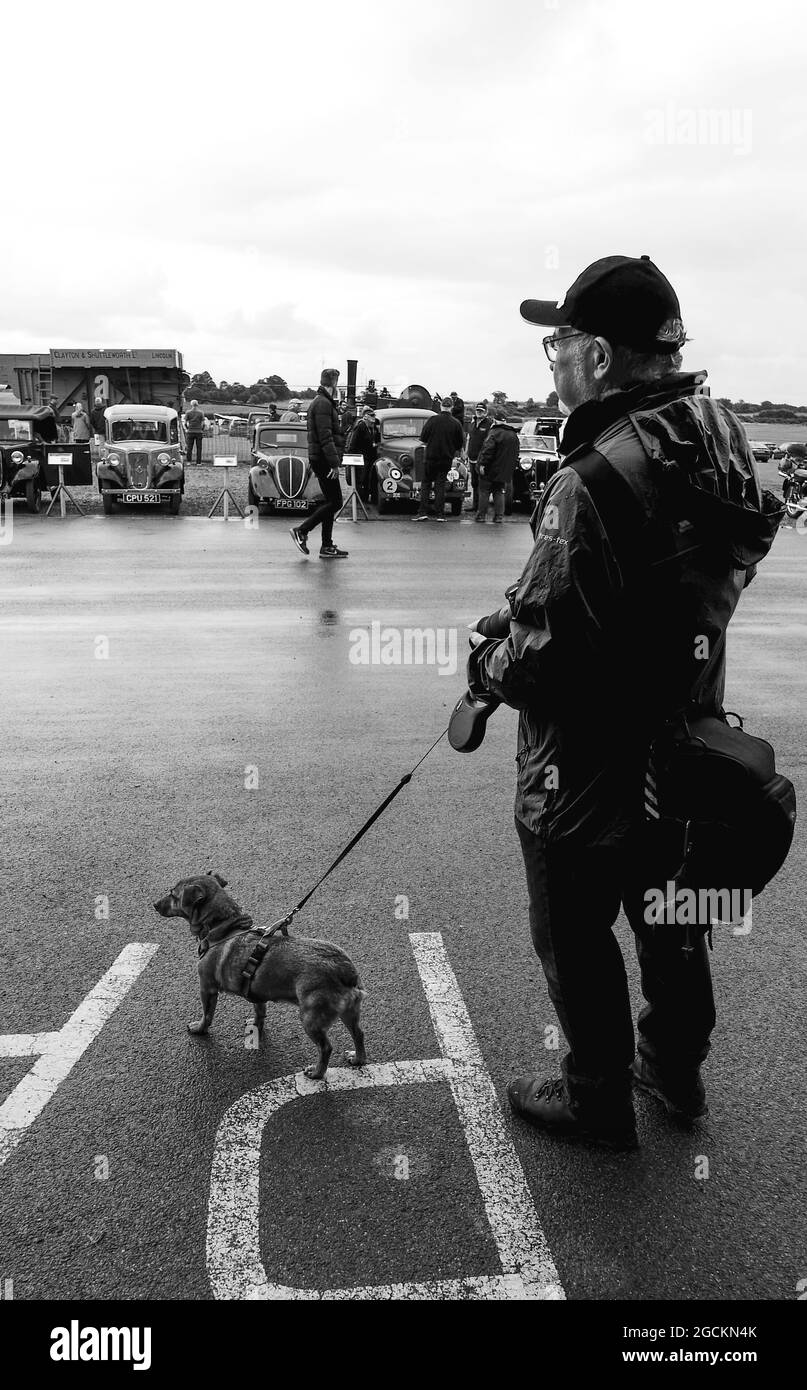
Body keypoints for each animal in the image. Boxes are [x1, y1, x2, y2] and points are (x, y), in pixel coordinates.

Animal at [152, 872, 366, 1078]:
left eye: (172, 894)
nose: (154, 904)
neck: (223, 927)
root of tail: (345, 969)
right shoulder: (257, 993)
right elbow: (259, 1012)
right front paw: (255, 1027)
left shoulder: (207, 987)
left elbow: (207, 1014)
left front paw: (200, 1028)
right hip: (349, 1013)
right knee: (359, 1033)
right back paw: (358, 1059)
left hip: (311, 1019)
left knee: (326, 1047)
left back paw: (317, 1072)